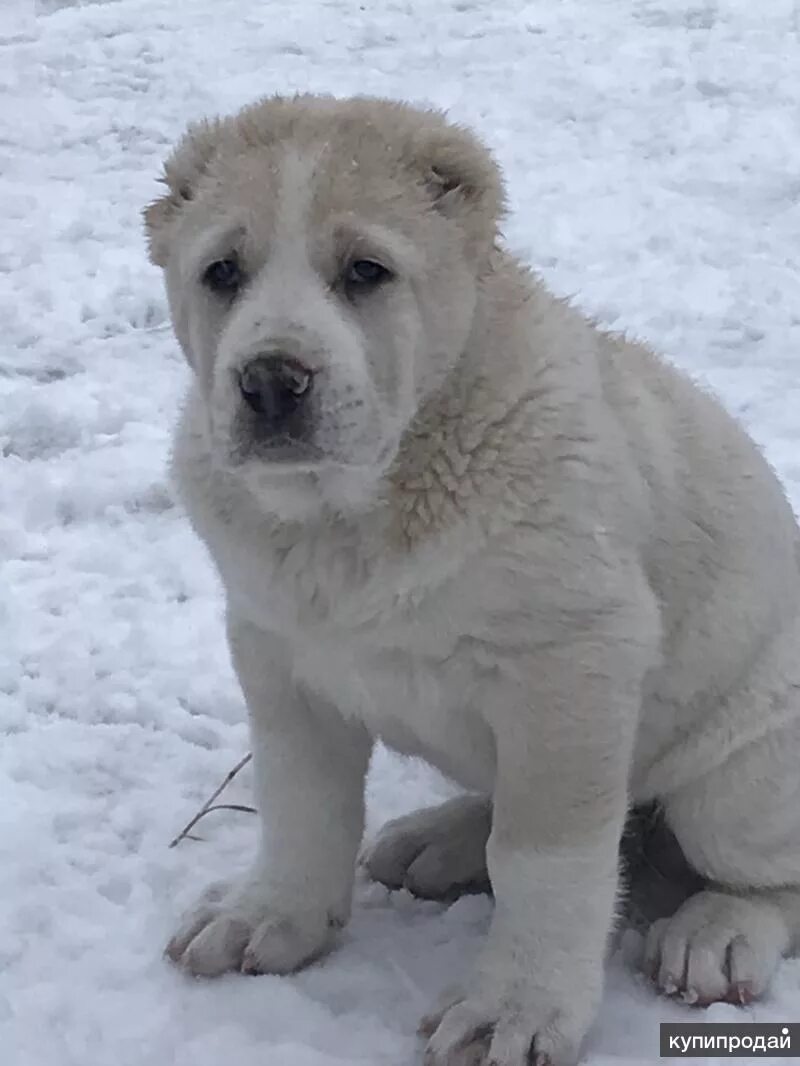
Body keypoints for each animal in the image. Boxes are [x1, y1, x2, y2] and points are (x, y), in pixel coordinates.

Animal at [146, 93, 800, 1066]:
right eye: (222, 272)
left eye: (366, 272)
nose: (269, 382)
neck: (357, 511)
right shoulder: (276, 652)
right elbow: (299, 803)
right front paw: (272, 915)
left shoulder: (572, 667)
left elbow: (544, 855)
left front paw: (515, 1007)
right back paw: (436, 843)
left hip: (738, 785)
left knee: (755, 870)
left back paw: (715, 933)